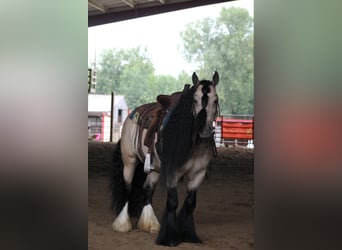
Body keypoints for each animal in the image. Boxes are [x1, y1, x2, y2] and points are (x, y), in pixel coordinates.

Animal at [111, 71, 220, 246]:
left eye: (215, 100)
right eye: (195, 100)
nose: (204, 130)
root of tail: (131, 115)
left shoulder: (199, 174)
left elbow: (190, 203)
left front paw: (189, 235)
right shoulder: (172, 172)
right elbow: (173, 201)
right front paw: (169, 239)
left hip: (155, 169)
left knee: (147, 189)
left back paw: (150, 224)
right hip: (129, 162)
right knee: (127, 188)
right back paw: (123, 224)